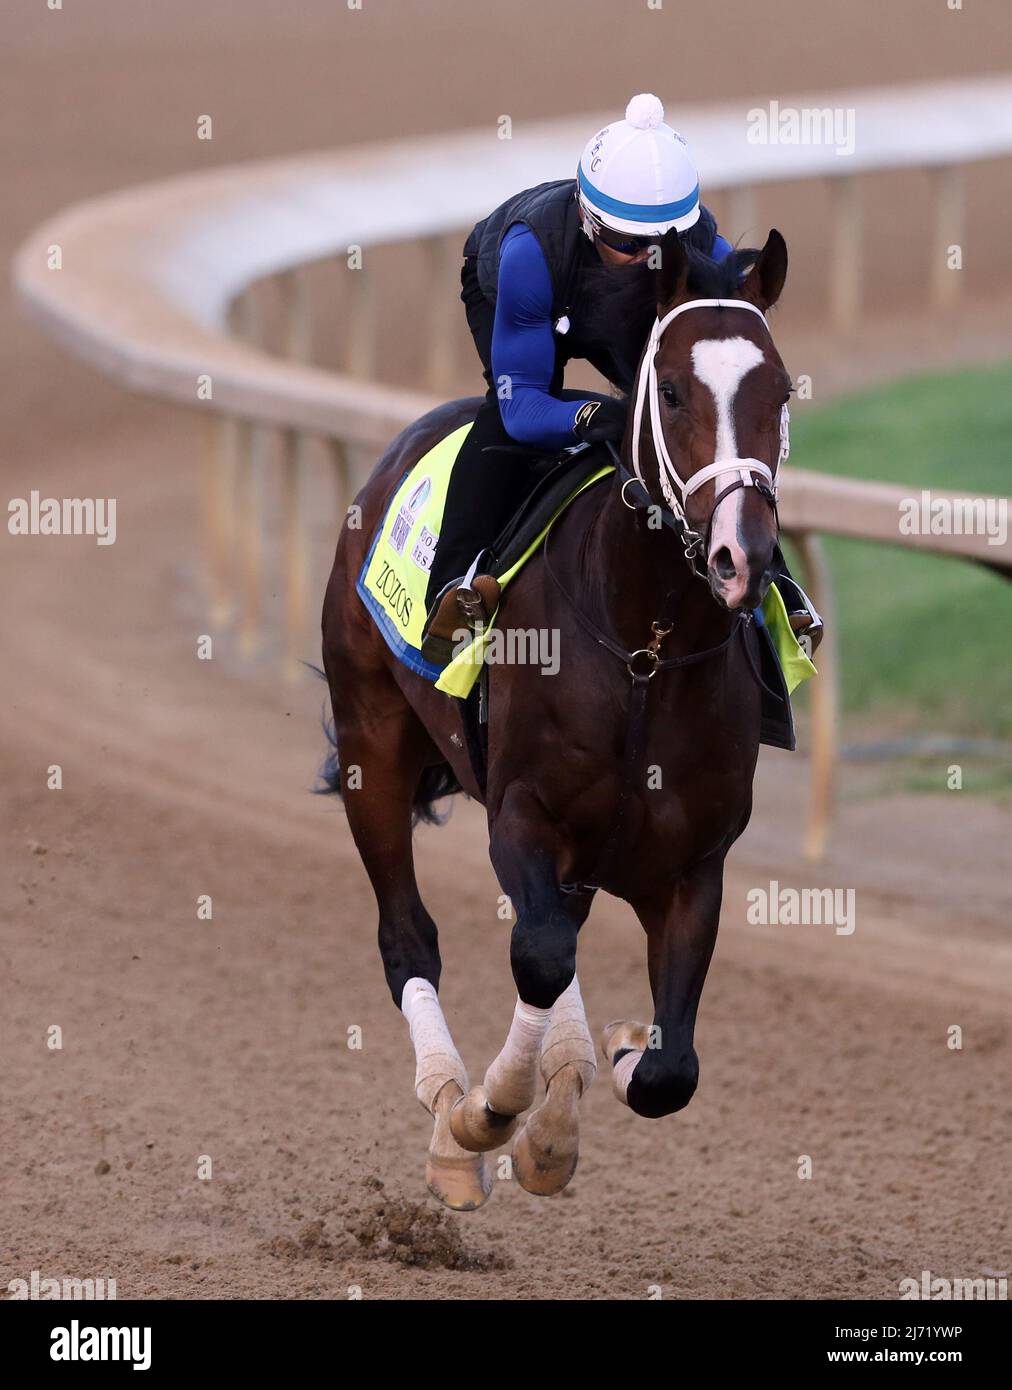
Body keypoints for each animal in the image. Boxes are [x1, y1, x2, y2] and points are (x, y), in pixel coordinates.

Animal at [322, 225, 789, 1206]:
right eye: (673, 389)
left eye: (781, 391)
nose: (744, 555)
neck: (644, 645)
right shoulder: (521, 813)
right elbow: (538, 956)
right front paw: (491, 1117)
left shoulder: (693, 865)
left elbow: (669, 1070)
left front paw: (609, 1059)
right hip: (370, 741)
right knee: (410, 939)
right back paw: (456, 1119)